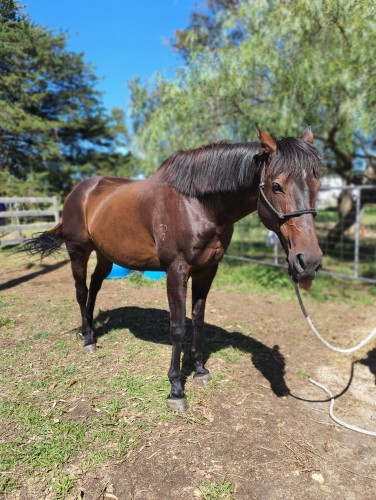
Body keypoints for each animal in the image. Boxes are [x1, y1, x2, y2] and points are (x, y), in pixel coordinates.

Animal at [25, 125, 324, 410]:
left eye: (317, 185)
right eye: (277, 186)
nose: (308, 262)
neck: (197, 204)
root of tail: (78, 191)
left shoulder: (208, 270)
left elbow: (198, 319)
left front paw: (200, 370)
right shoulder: (176, 270)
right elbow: (178, 326)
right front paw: (176, 389)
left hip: (105, 255)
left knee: (95, 288)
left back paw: (90, 329)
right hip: (78, 251)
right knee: (80, 290)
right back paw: (88, 339)